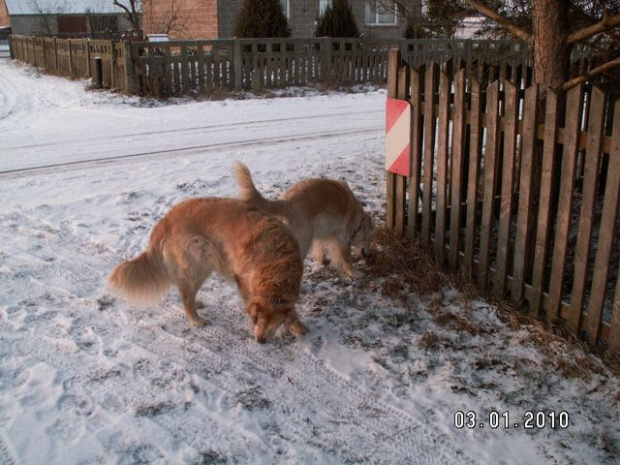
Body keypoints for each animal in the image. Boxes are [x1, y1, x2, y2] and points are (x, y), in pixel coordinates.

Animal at [109, 198, 310, 342]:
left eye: (273, 324)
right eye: (258, 320)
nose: (260, 341)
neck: (276, 264)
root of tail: (164, 221)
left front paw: (297, 325)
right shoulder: (243, 280)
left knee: (185, 291)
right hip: (201, 258)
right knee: (186, 294)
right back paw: (195, 319)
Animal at [235, 161, 376, 278]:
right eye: (368, 238)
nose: (369, 255)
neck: (357, 217)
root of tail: (287, 201)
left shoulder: (324, 233)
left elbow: (321, 247)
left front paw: (322, 260)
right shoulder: (343, 238)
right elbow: (346, 258)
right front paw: (354, 272)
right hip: (304, 240)